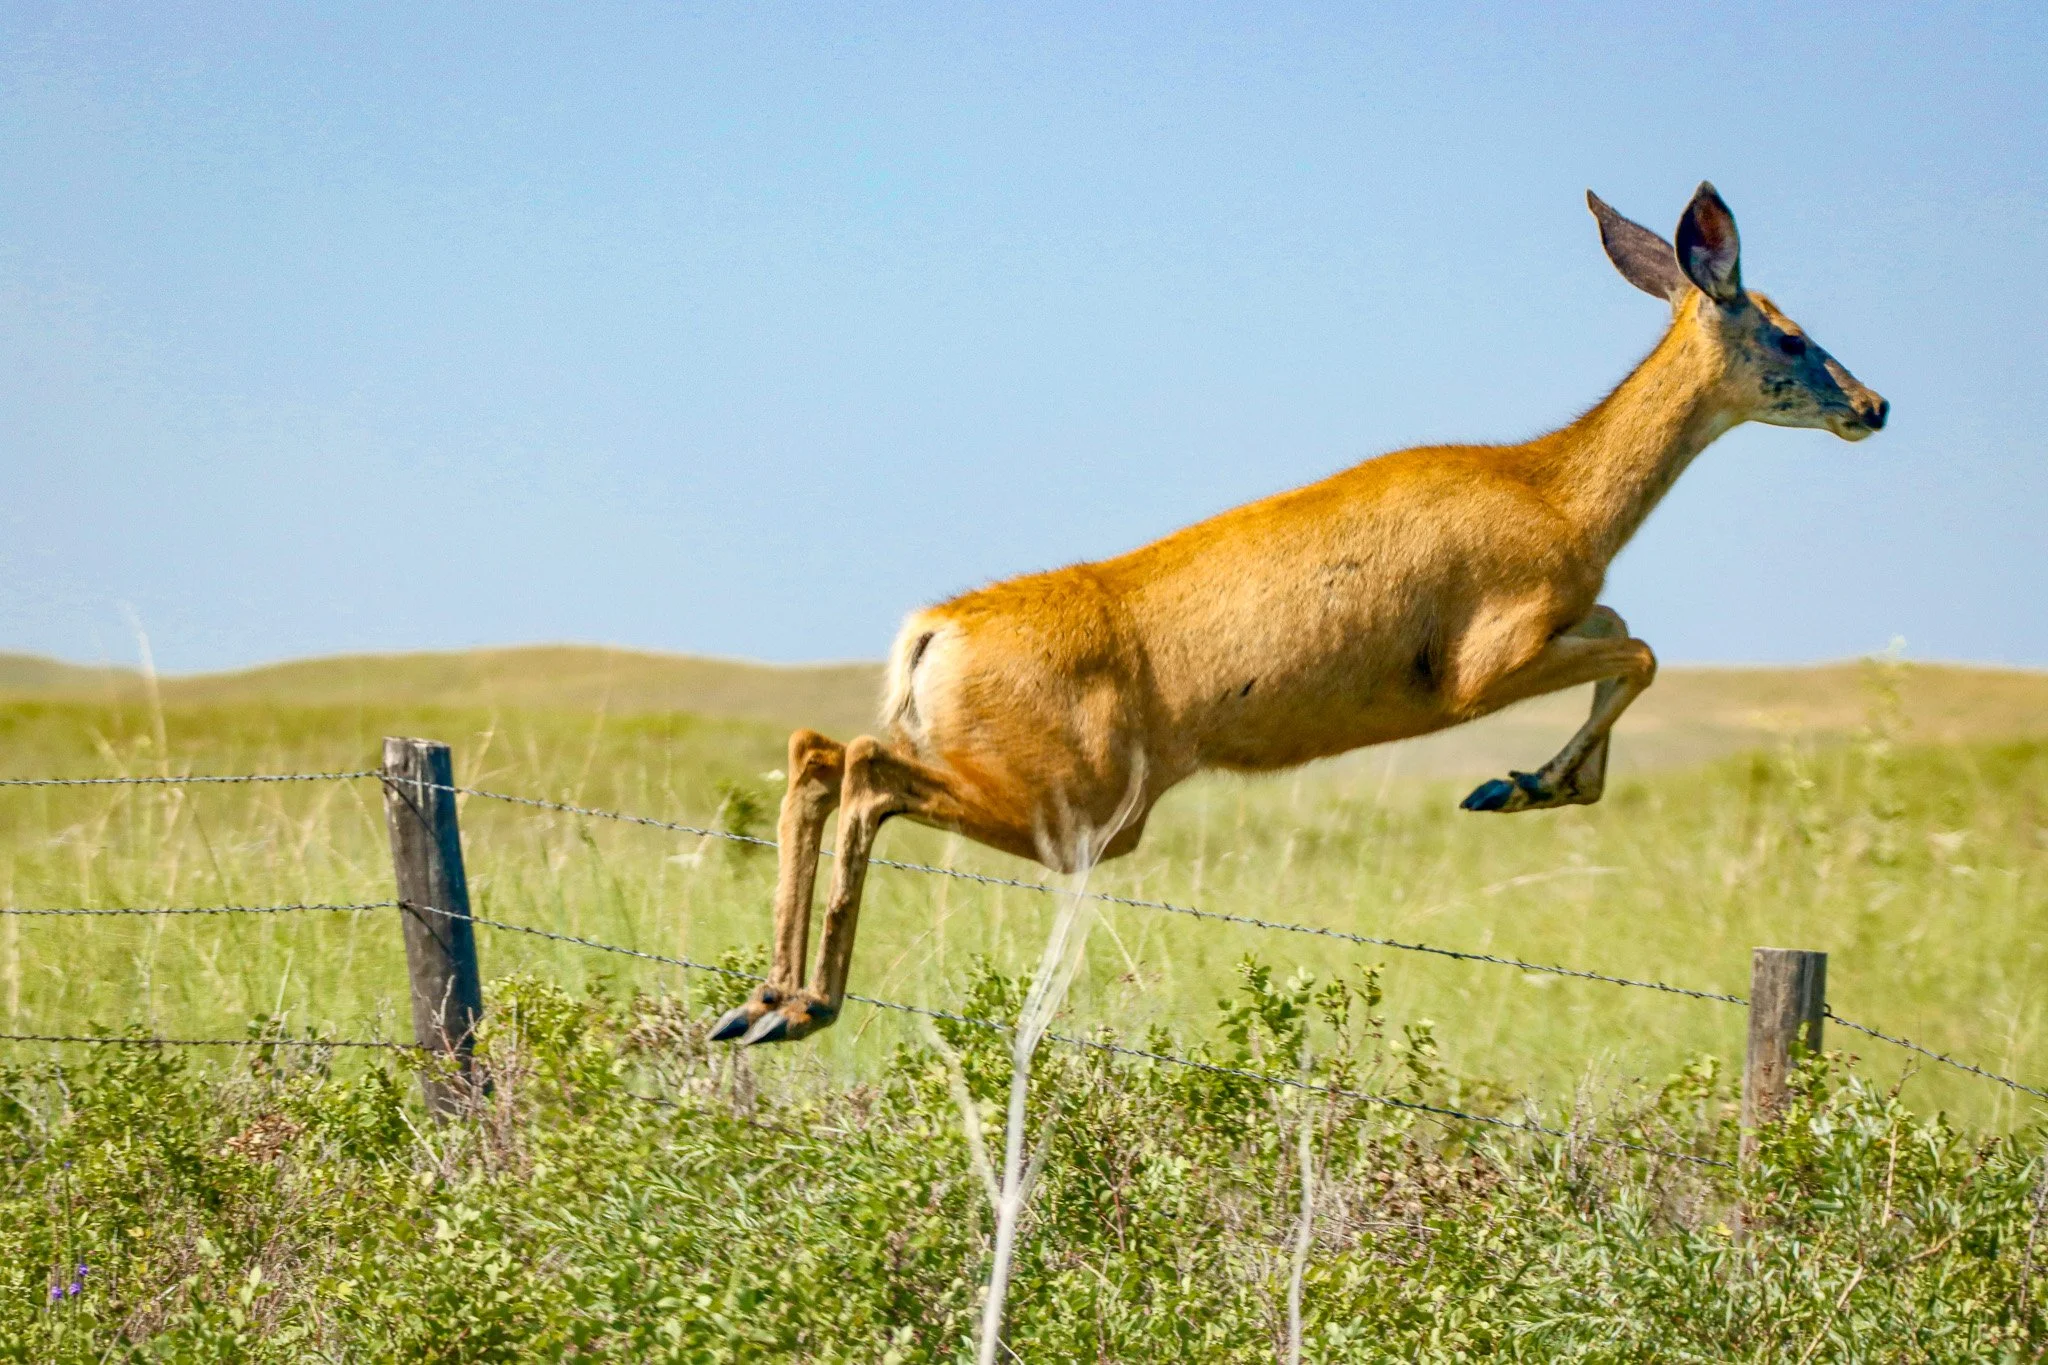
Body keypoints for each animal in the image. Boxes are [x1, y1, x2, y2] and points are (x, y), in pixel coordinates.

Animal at [712, 182, 1888, 1046]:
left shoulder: (1560, 620)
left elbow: (1624, 643)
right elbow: (1641, 651)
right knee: (858, 768)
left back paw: (758, 1006)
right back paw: (800, 1006)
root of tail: (932, 631)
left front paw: (1530, 784)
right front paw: (1515, 784)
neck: (1561, 495)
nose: (1873, 405)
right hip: (1079, 804)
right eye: (1789, 335)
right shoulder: (1479, 661)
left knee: (819, 752)